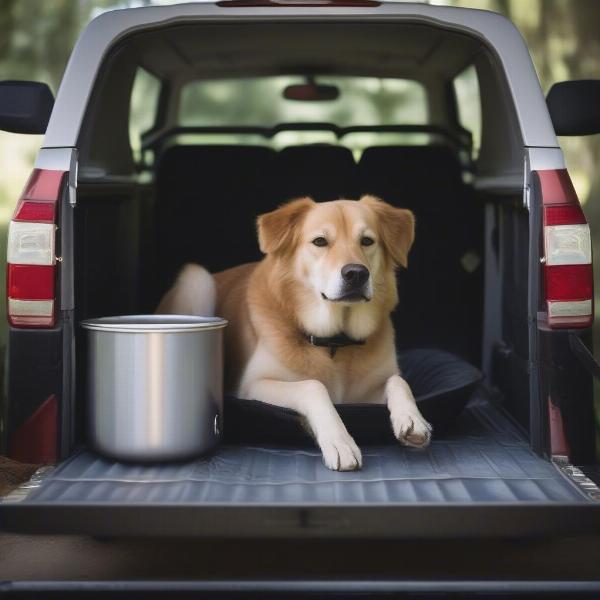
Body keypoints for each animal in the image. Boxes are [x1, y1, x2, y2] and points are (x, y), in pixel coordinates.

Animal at [159, 196, 432, 468]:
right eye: (320, 241)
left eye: (367, 241)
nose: (356, 273)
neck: (335, 342)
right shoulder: (252, 386)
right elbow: (313, 386)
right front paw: (339, 440)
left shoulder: (369, 393)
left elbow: (398, 380)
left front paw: (412, 417)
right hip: (198, 280)